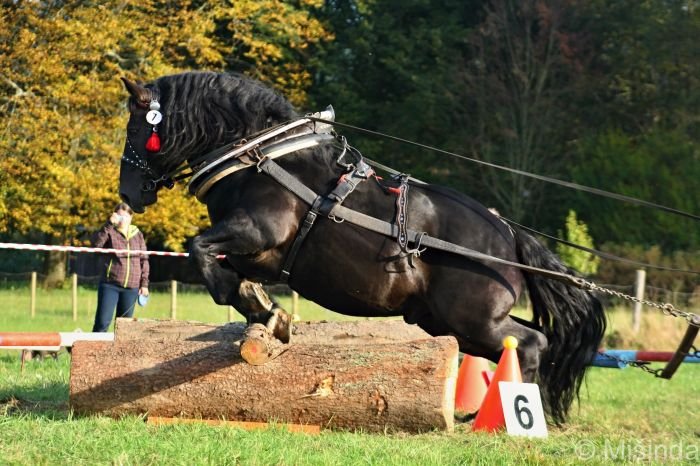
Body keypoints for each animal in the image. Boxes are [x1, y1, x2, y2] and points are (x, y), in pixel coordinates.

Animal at [117, 70, 604, 422]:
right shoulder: (257, 254)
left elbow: (201, 251)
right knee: (525, 341)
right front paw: (266, 310)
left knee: (532, 343)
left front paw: (259, 309)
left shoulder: (259, 231)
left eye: (136, 129)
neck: (259, 158)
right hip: (451, 320)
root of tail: (508, 234)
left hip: (474, 320)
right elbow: (222, 266)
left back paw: (509, 414)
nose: (128, 192)